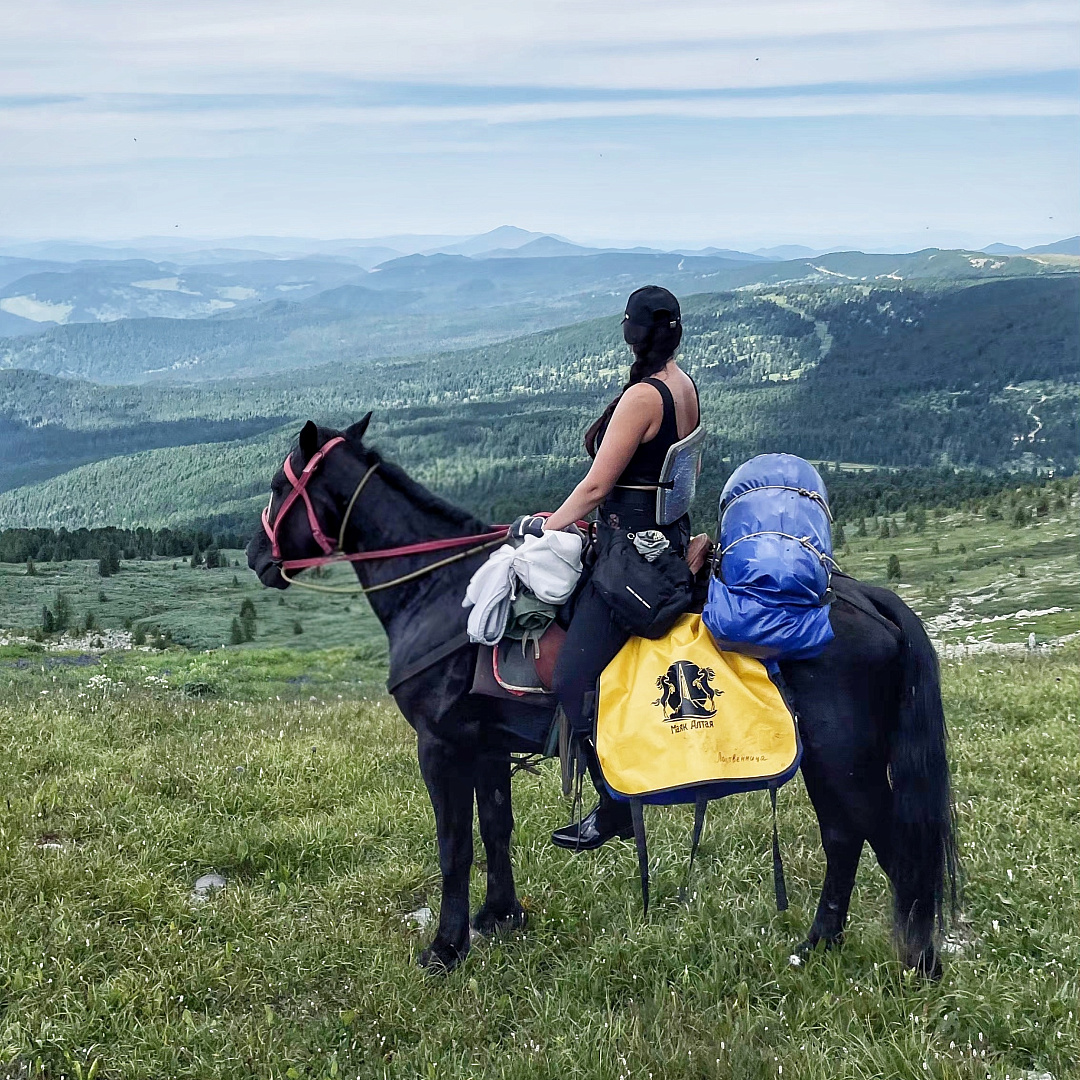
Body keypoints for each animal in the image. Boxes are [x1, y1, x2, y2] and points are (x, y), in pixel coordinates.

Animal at [247, 416, 958, 977]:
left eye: (282, 487)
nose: (258, 558)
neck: (438, 592)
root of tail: (866, 597)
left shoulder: (441, 745)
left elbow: (455, 845)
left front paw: (446, 949)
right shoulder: (485, 746)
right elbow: (495, 829)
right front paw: (500, 917)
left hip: (844, 759)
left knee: (887, 844)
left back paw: (918, 967)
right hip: (830, 761)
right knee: (844, 836)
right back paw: (817, 946)